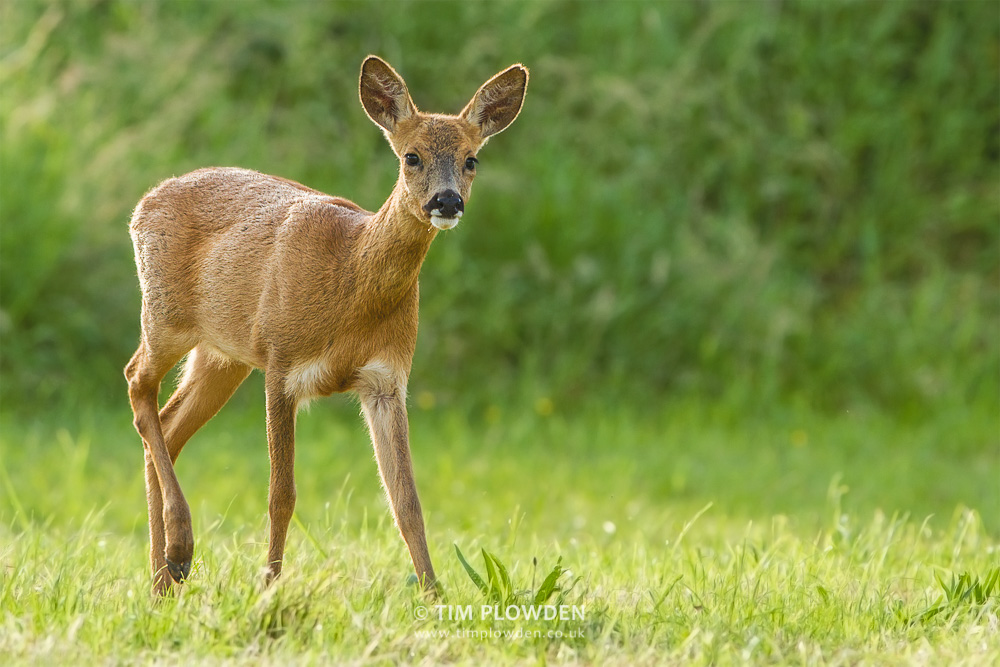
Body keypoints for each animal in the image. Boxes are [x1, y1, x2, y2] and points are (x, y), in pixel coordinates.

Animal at [124, 55, 528, 596]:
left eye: (471, 160)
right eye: (412, 156)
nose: (446, 202)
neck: (350, 276)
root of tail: (144, 203)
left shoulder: (386, 379)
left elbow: (407, 501)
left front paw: (433, 595)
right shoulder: (281, 363)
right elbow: (282, 495)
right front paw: (269, 588)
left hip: (222, 354)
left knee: (168, 426)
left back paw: (163, 579)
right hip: (166, 316)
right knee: (136, 383)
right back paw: (179, 553)